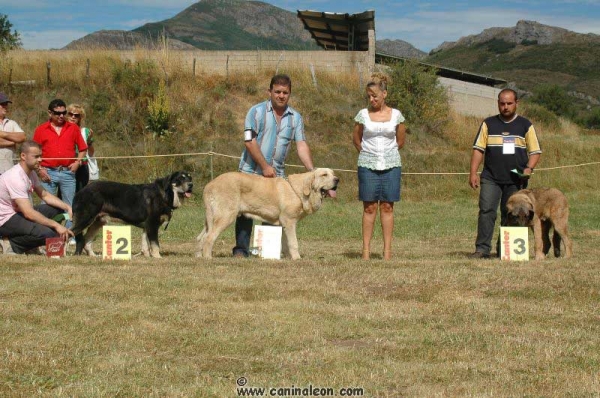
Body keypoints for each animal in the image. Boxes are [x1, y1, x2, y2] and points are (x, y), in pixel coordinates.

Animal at [197, 167, 338, 258]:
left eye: (333, 173)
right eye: (324, 175)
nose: (337, 180)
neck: (302, 190)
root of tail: (210, 185)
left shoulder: (284, 224)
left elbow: (285, 243)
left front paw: (288, 257)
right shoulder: (289, 221)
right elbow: (293, 243)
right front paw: (297, 258)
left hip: (210, 219)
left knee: (201, 237)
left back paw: (199, 256)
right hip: (226, 216)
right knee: (209, 238)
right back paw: (208, 258)